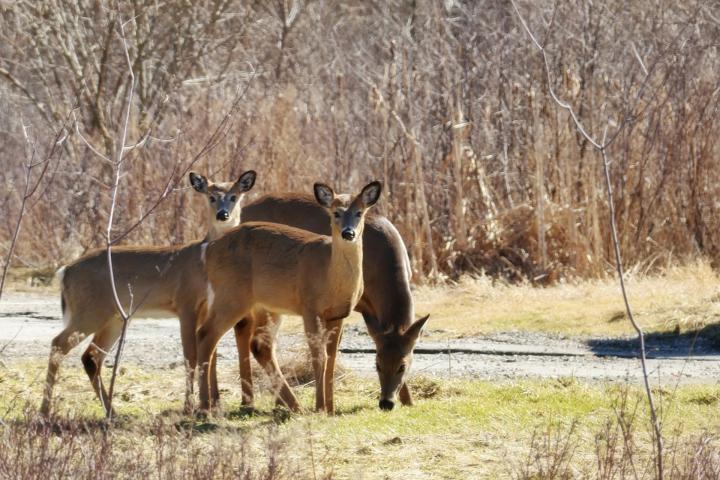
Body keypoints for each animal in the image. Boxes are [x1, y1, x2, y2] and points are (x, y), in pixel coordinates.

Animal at [40, 170, 257, 417]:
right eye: (211, 197)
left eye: (234, 196)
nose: (223, 214)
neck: (202, 262)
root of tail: (64, 271)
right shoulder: (185, 303)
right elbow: (190, 355)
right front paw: (189, 407)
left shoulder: (206, 308)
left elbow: (210, 355)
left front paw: (215, 406)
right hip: (90, 310)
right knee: (58, 344)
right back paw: (45, 411)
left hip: (113, 317)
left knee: (91, 357)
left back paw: (111, 411)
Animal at [197, 181, 383, 414]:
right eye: (336, 212)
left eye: (359, 212)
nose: (348, 233)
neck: (330, 278)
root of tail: (209, 249)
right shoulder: (309, 307)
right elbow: (319, 356)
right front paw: (320, 408)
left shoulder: (339, 314)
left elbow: (332, 358)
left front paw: (331, 409)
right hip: (232, 295)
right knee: (206, 335)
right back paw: (205, 407)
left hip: (262, 305)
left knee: (257, 345)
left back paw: (292, 406)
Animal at [235, 191, 429, 411]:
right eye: (377, 364)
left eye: (403, 366)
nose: (386, 403)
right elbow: (331, 354)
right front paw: (329, 406)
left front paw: (409, 401)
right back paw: (253, 401)